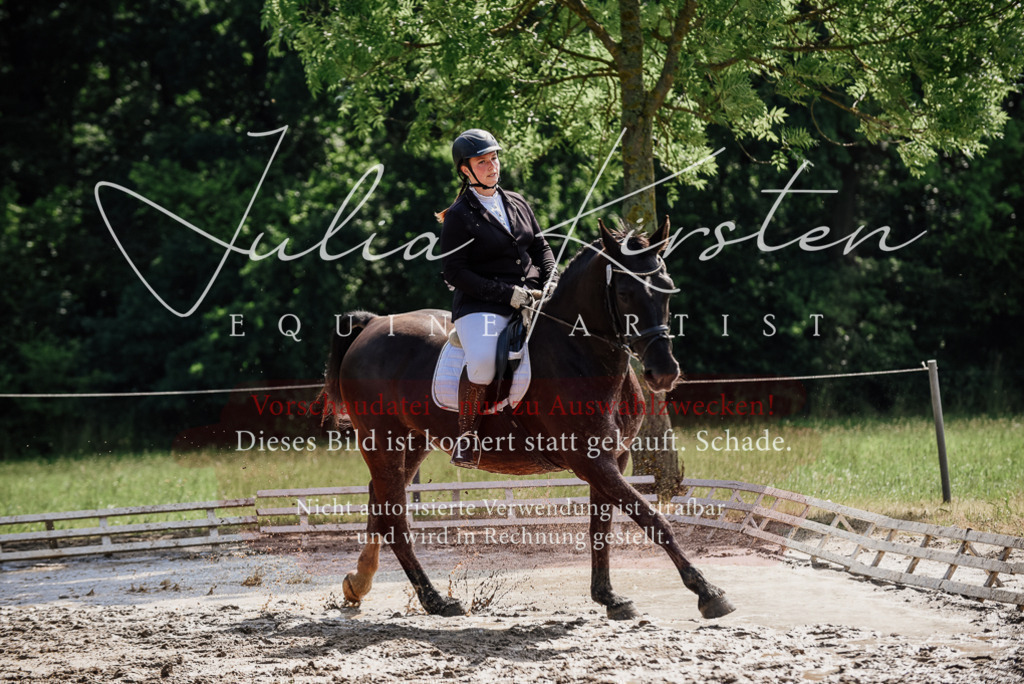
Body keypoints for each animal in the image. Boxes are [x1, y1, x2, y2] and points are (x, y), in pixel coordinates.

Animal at [319, 218, 735, 620]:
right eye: (625, 293)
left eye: (666, 290)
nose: (663, 373)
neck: (580, 353)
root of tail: (373, 324)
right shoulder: (591, 461)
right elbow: (653, 519)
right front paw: (708, 592)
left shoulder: (613, 458)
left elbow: (600, 527)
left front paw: (609, 597)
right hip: (382, 440)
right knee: (395, 517)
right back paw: (436, 601)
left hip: (414, 440)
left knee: (380, 504)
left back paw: (358, 583)